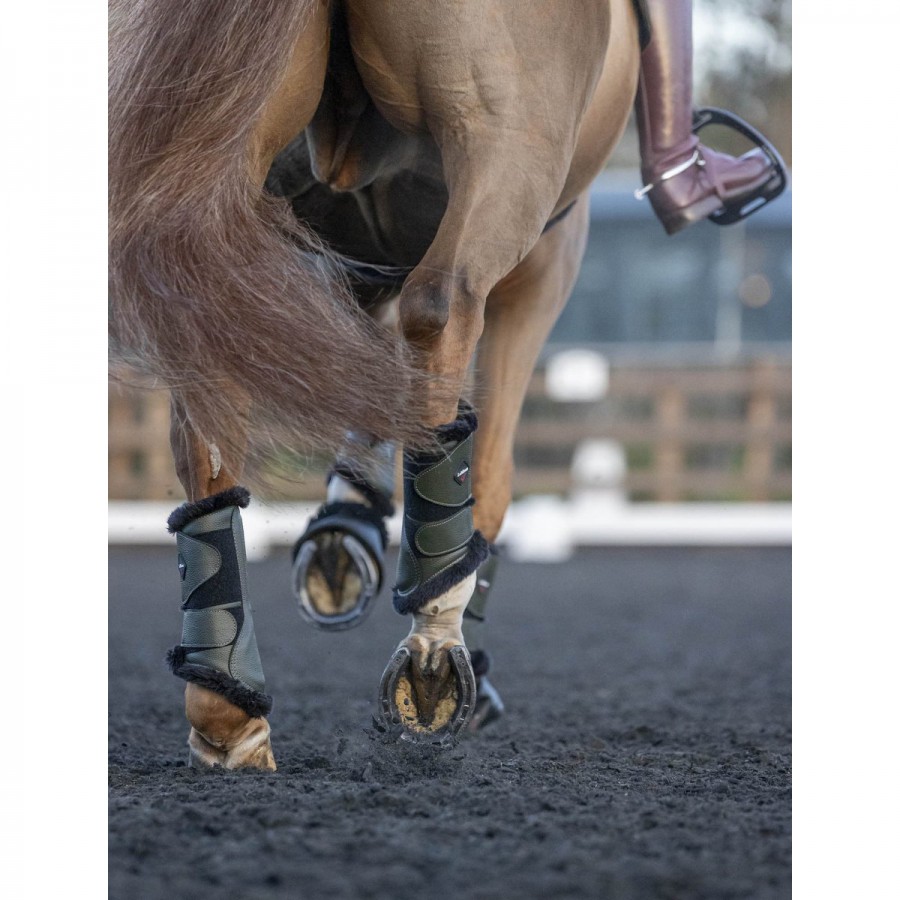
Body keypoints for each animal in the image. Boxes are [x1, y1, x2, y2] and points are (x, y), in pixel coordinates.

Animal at [109, 1, 648, 772]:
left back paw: (227, 705)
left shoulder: (365, 259)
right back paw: (433, 653)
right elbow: (491, 471)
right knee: (442, 316)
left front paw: (347, 523)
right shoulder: (547, 258)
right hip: (505, 153)